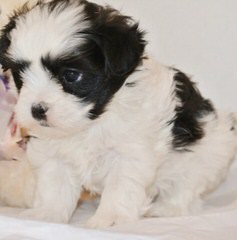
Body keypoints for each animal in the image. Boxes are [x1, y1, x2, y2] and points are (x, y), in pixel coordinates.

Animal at [0, 0, 237, 229]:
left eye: (71, 75)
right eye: (20, 75)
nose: (36, 109)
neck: (91, 123)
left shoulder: (129, 153)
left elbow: (120, 186)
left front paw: (110, 218)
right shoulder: (53, 153)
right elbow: (54, 186)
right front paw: (47, 215)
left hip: (207, 152)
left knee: (186, 185)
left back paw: (166, 208)